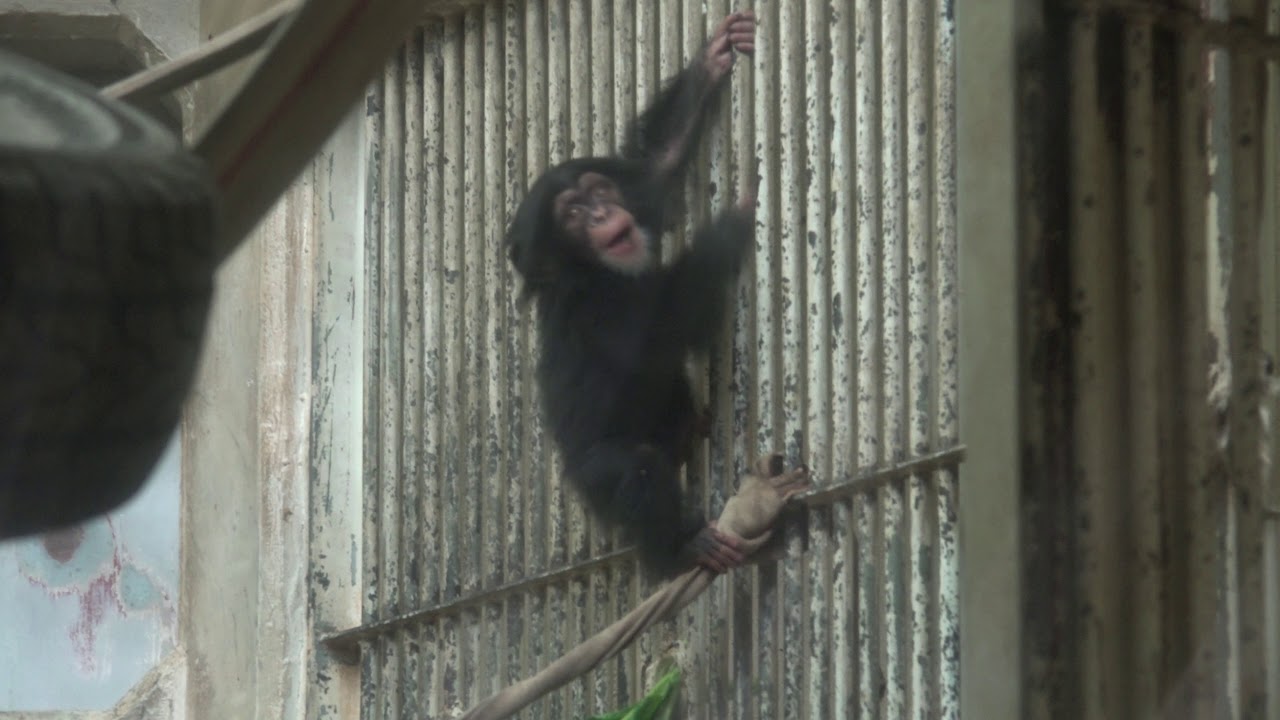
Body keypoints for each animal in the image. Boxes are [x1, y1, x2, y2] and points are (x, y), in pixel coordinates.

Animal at [506, 11, 757, 576]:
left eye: (599, 191)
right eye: (574, 213)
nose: (601, 213)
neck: (596, 273)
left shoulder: (637, 194)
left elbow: (657, 165)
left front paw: (712, 58)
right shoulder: (593, 312)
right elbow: (651, 341)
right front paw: (723, 233)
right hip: (592, 478)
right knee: (634, 468)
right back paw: (686, 546)